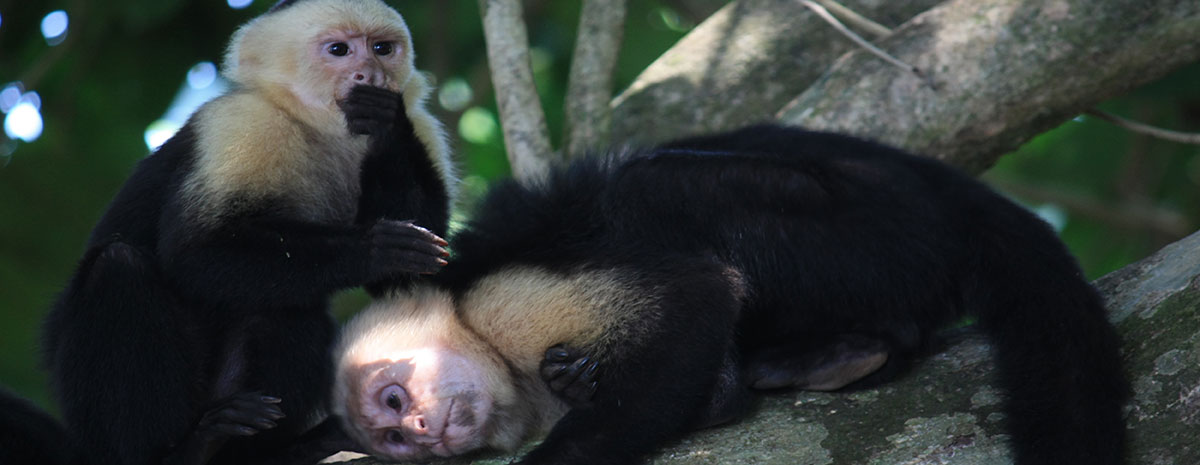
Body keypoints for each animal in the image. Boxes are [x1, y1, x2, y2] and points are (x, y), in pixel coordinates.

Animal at [24, 0, 453, 465]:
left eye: (382, 48)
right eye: (339, 50)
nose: (370, 75)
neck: (325, 130)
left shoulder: (423, 128)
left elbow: (406, 282)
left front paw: (386, 122)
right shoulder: (242, 124)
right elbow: (197, 251)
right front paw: (374, 249)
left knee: (289, 306)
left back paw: (277, 450)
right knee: (118, 268)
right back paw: (179, 451)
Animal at [333, 123, 1128, 465]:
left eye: (394, 401)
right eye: (392, 440)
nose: (420, 433)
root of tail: (946, 192)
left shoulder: (506, 304)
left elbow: (697, 294)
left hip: (867, 223)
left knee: (653, 187)